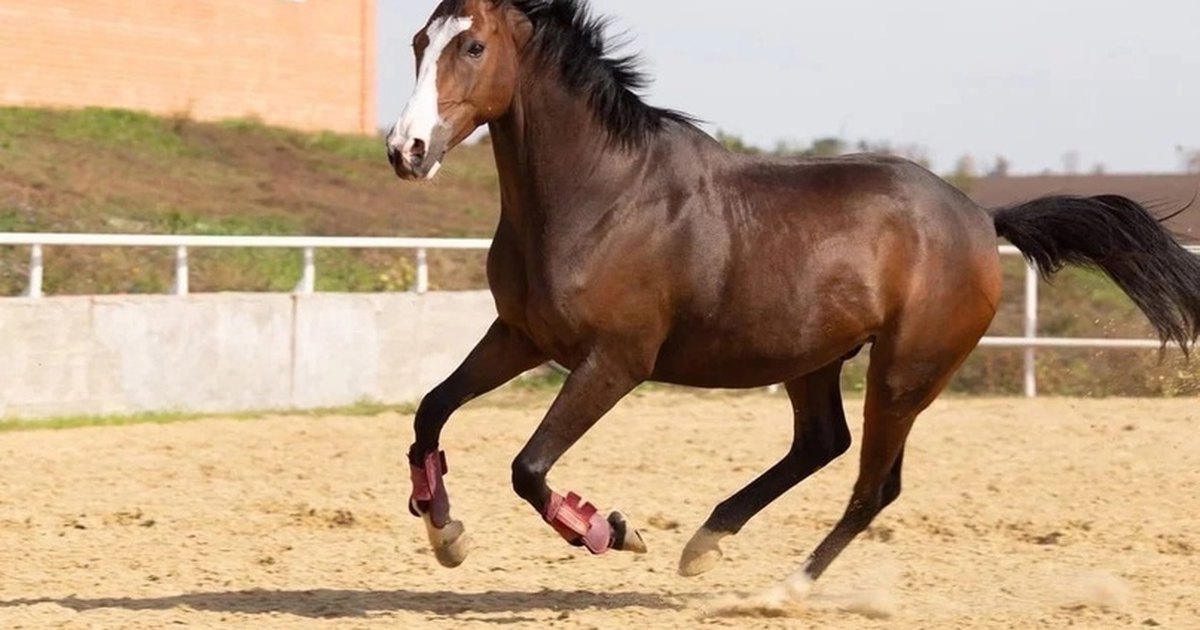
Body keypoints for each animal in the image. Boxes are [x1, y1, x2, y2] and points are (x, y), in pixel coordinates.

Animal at [381, 0, 1200, 600]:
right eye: (421, 40)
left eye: (472, 47)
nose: (405, 150)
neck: (599, 194)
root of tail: (978, 217)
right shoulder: (520, 335)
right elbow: (430, 412)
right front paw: (446, 535)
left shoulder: (614, 361)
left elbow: (528, 467)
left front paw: (613, 530)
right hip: (814, 358)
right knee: (822, 444)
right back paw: (705, 545)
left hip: (904, 374)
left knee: (873, 485)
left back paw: (786, 588)